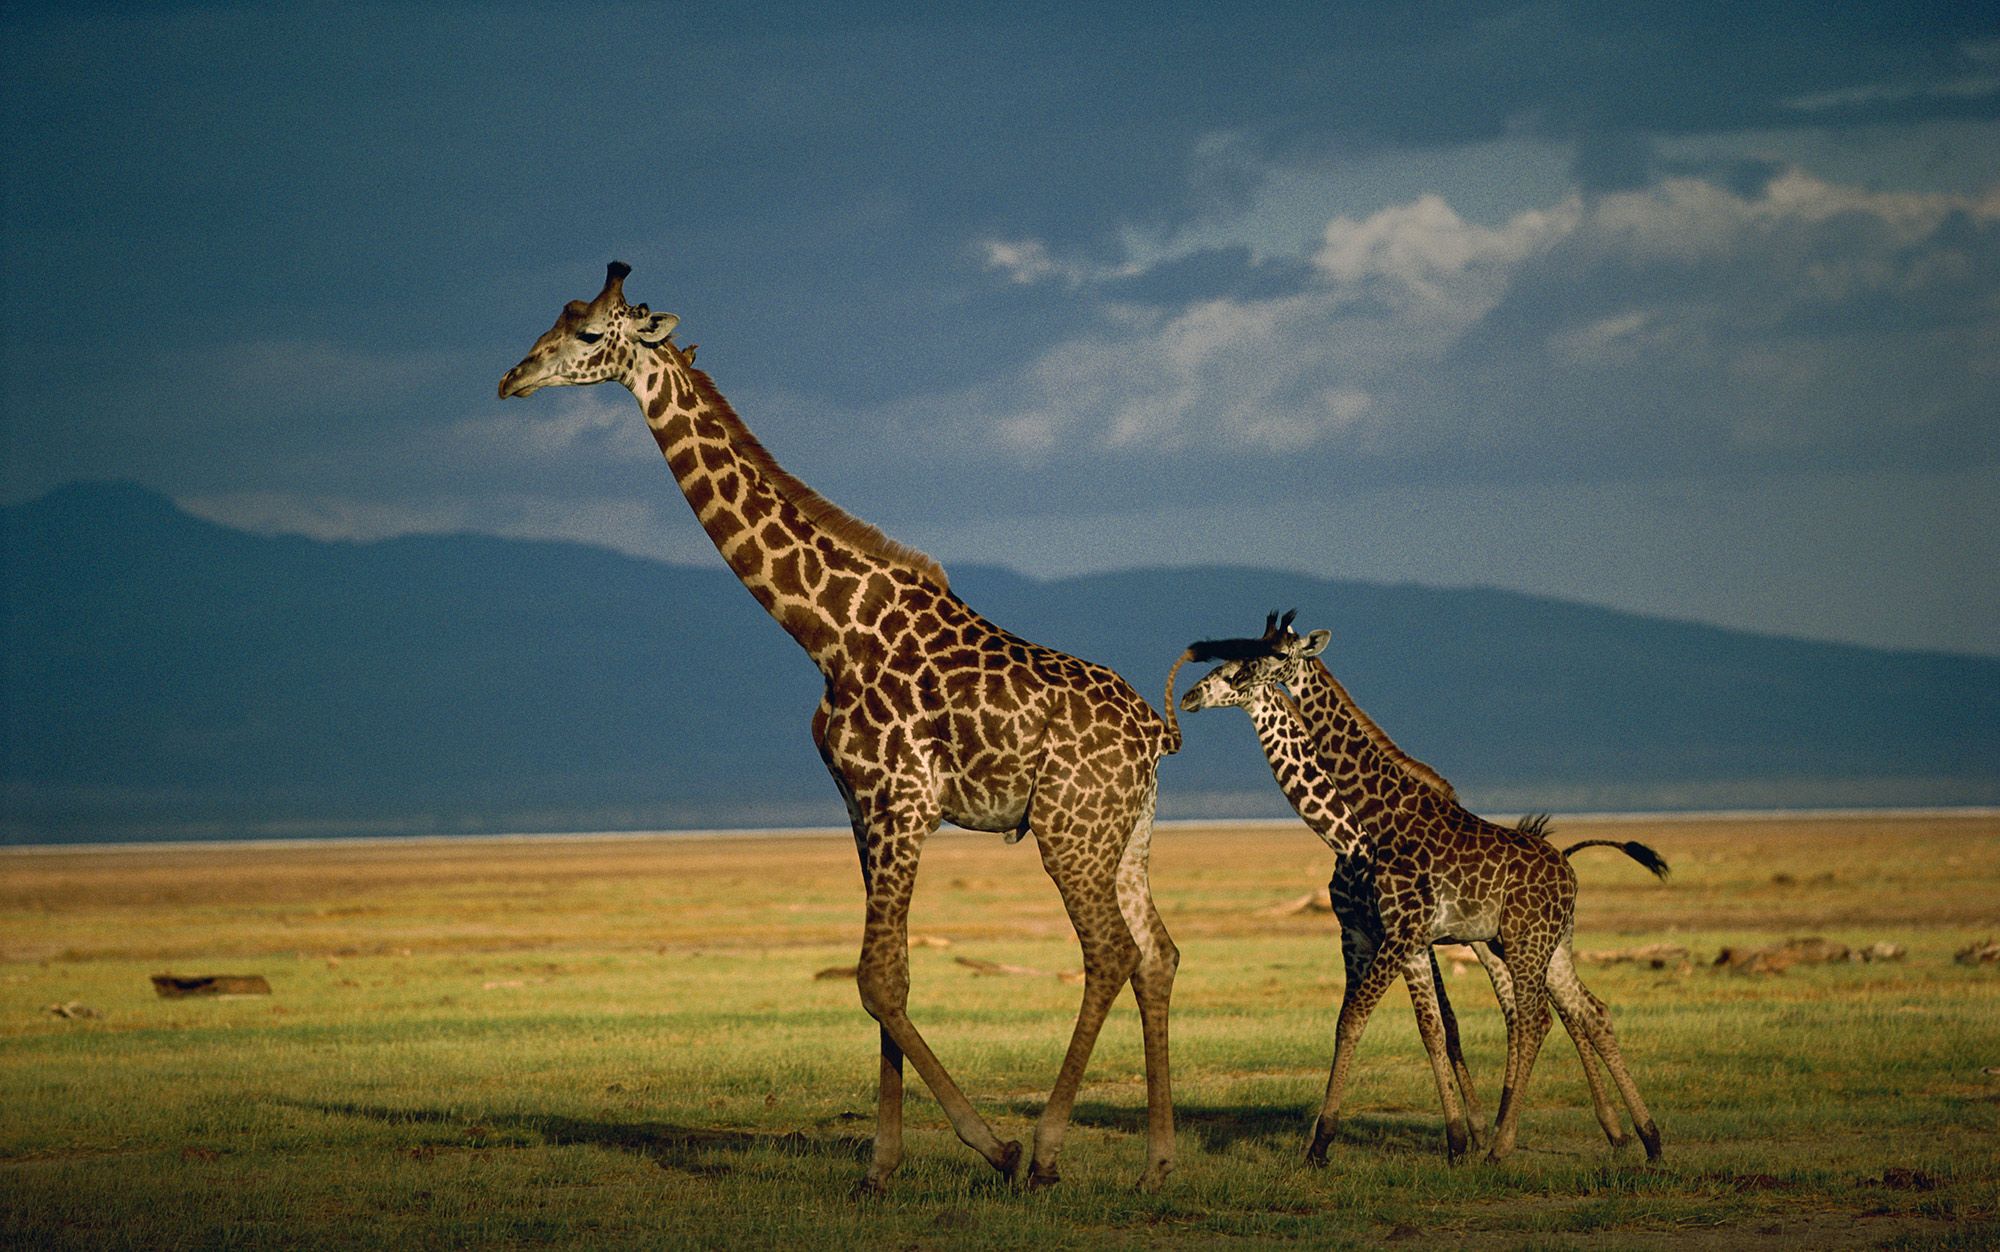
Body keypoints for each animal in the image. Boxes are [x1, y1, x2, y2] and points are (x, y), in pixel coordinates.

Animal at [508, 264, 1176, 1192]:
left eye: (588, 333)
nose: (513, 379)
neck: (827, 629)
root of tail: (1154, 735)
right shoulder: (862, 809)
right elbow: (888, 979)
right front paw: (880, 1169)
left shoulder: (903, 803)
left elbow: (876, 982)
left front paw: (987, 1145)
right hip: (1126, 831)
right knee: (1158, 955)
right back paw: (1157, 1163)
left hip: (1067, 827)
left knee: (1109, 951)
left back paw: (1042, 1152)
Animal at [1176, 624, 1664, 1160]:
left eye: (1239, 667)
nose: (1190, 695)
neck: (1353, 830)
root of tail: (1568, 868)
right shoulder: (1368, 936)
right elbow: (1420, 1026)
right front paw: (1458, 1137)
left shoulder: (1405, 934)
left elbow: (1395, 1022)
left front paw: (1327, 1143)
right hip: (1540, 945)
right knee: (1585, 1012)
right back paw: (1640, 1137)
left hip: (1517, 943)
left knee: (1531, 1017)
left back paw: (1509, 1141)